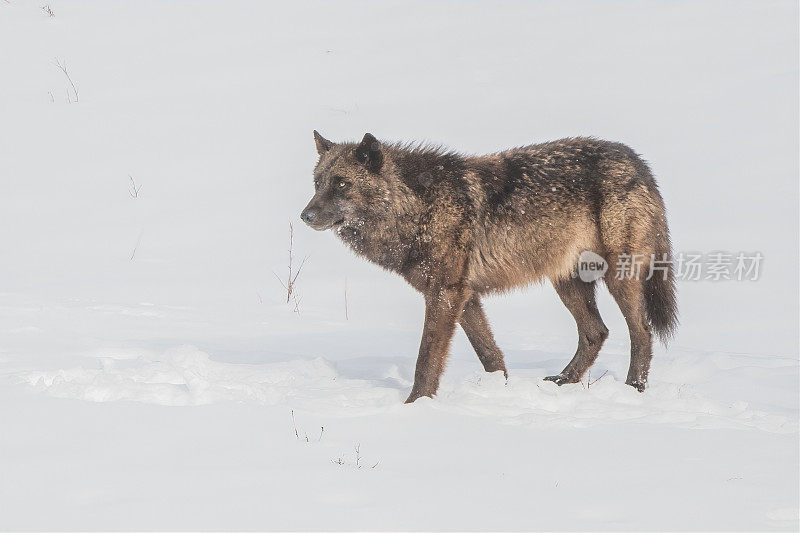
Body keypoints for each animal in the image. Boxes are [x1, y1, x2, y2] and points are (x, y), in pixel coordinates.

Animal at [300, 131, 676, 402]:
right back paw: (563, 381)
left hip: (618, 277)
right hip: (565, 280)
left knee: (641, 331)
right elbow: (490, 354)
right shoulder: (465, 296)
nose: (305, 215)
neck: (417, 207)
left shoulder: (445, 294)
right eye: (317, 183)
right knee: (596, 331)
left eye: (342, 183)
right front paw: (500, 391)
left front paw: (415, 405)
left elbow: (426, 360)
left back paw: (633, 388)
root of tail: (637, 161)